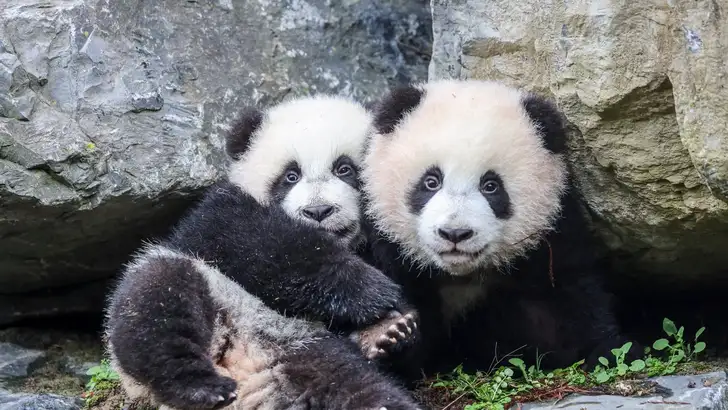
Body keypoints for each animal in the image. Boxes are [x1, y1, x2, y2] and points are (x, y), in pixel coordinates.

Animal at [104, 94, 421, 410]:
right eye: (290, 176)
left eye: (344, 169)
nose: (318, 211)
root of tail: (247, 371)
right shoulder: (215, 215)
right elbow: (259, 245)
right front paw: (372, 291)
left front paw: (390, 333)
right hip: (211, 294)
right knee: (157, 304)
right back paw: (202, 387)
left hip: (307, 349)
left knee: (357, 384)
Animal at [359, 79, 639, 381]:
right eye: (431, 181)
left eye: (491, 186)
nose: (455, 234)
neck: (460, 275)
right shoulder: (385, 245)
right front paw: (392, 338)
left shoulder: (552, 240)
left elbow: (572, 303)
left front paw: (610, 352)